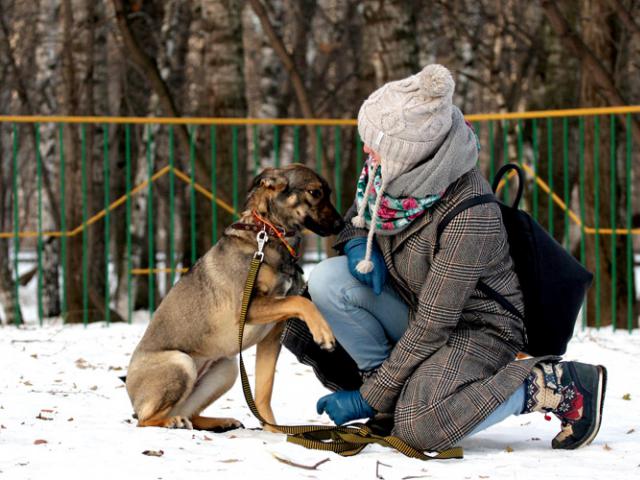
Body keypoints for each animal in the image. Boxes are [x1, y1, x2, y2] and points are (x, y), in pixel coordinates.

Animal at [125, 164, 344, 432]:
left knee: (191, 414)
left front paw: (273, 430)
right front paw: (324, 334)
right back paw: (171, 421)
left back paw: (219, 422)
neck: (269, 235)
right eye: (314, 192)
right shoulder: (247, 309)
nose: (340, 224)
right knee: (145, 420)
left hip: (226, 369)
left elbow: (263, 392)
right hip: (181, 362)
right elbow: (301, 302)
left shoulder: (272, 335)